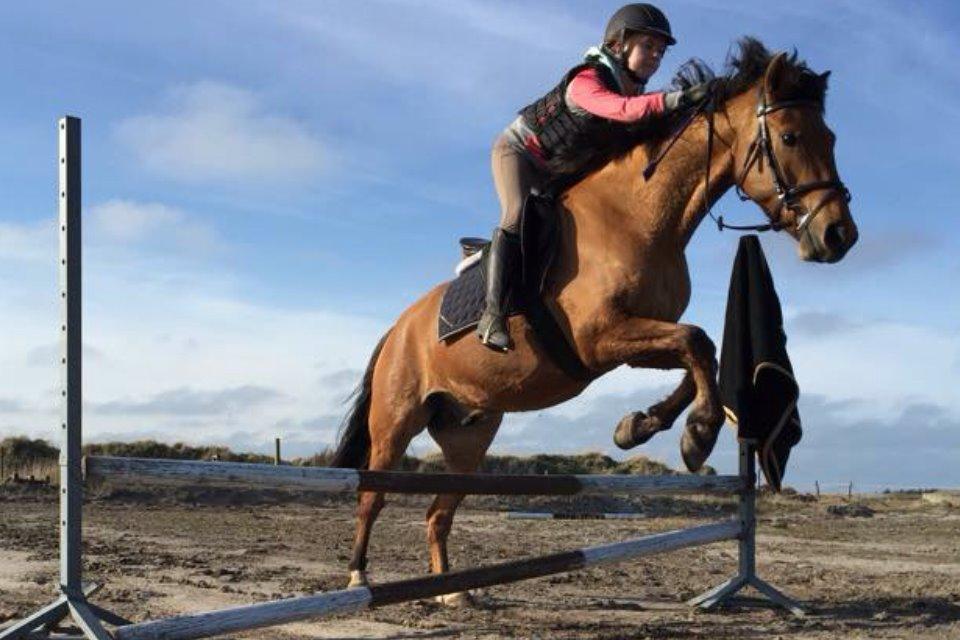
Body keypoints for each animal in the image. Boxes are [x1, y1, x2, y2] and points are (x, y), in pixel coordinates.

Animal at [332, 38, 864, 600]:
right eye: (789, 136)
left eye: (830, 137)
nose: (839, 236)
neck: (640, 214)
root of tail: (397, 328)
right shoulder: (599, 339)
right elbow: (697, 343)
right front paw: (697, 434)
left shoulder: (632, 340)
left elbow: (700, 351)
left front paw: (641, 426)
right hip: (395, 423)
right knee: (372, 496)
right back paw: (359, 576)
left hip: (468, 436)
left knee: (438, 512)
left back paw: (453, 590)